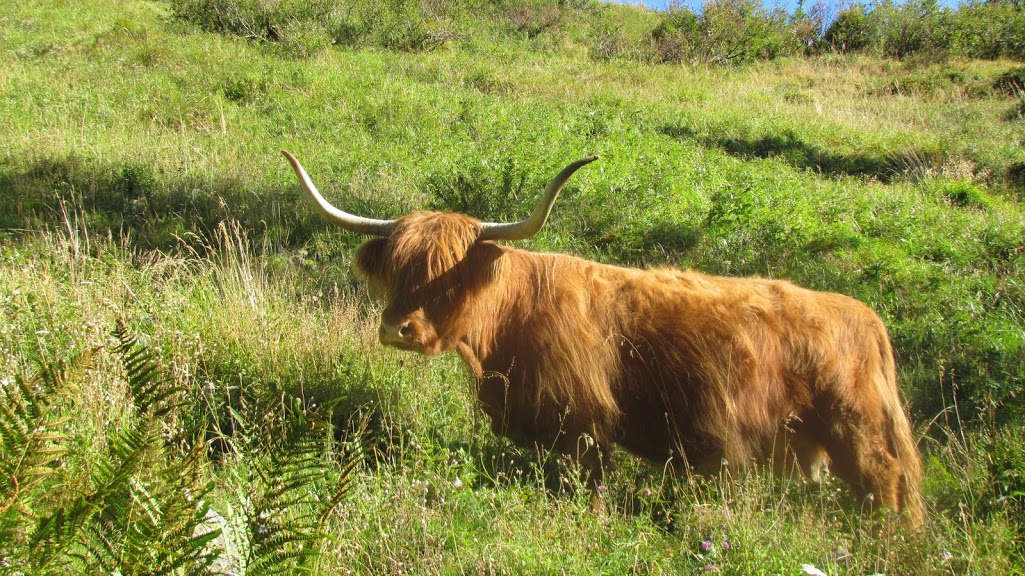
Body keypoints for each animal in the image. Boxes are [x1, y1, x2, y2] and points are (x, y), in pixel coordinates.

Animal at [283, 150, 924, 527]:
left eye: (452, 275)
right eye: (397, 269)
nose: (399, 329)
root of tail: (866, 318)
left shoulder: (585, 427)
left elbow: (587, 490)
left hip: (858, 432)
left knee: (889, 485)